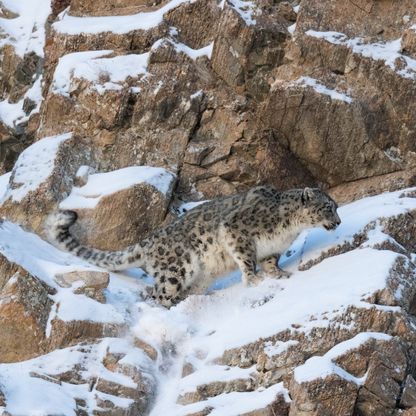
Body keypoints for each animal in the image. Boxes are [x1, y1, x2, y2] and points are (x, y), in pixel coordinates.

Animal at [48, 187, 342, 308]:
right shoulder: (237, 231)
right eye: (328, 207)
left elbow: (271, 262)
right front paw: (254, 279)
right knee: (160, 293)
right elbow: (247, 258)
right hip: (177, 269)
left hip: (200, 276)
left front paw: (278, 274)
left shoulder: (272, 249)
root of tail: (149, 240)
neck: (289, 229)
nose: (339, 222)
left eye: (336, 206)